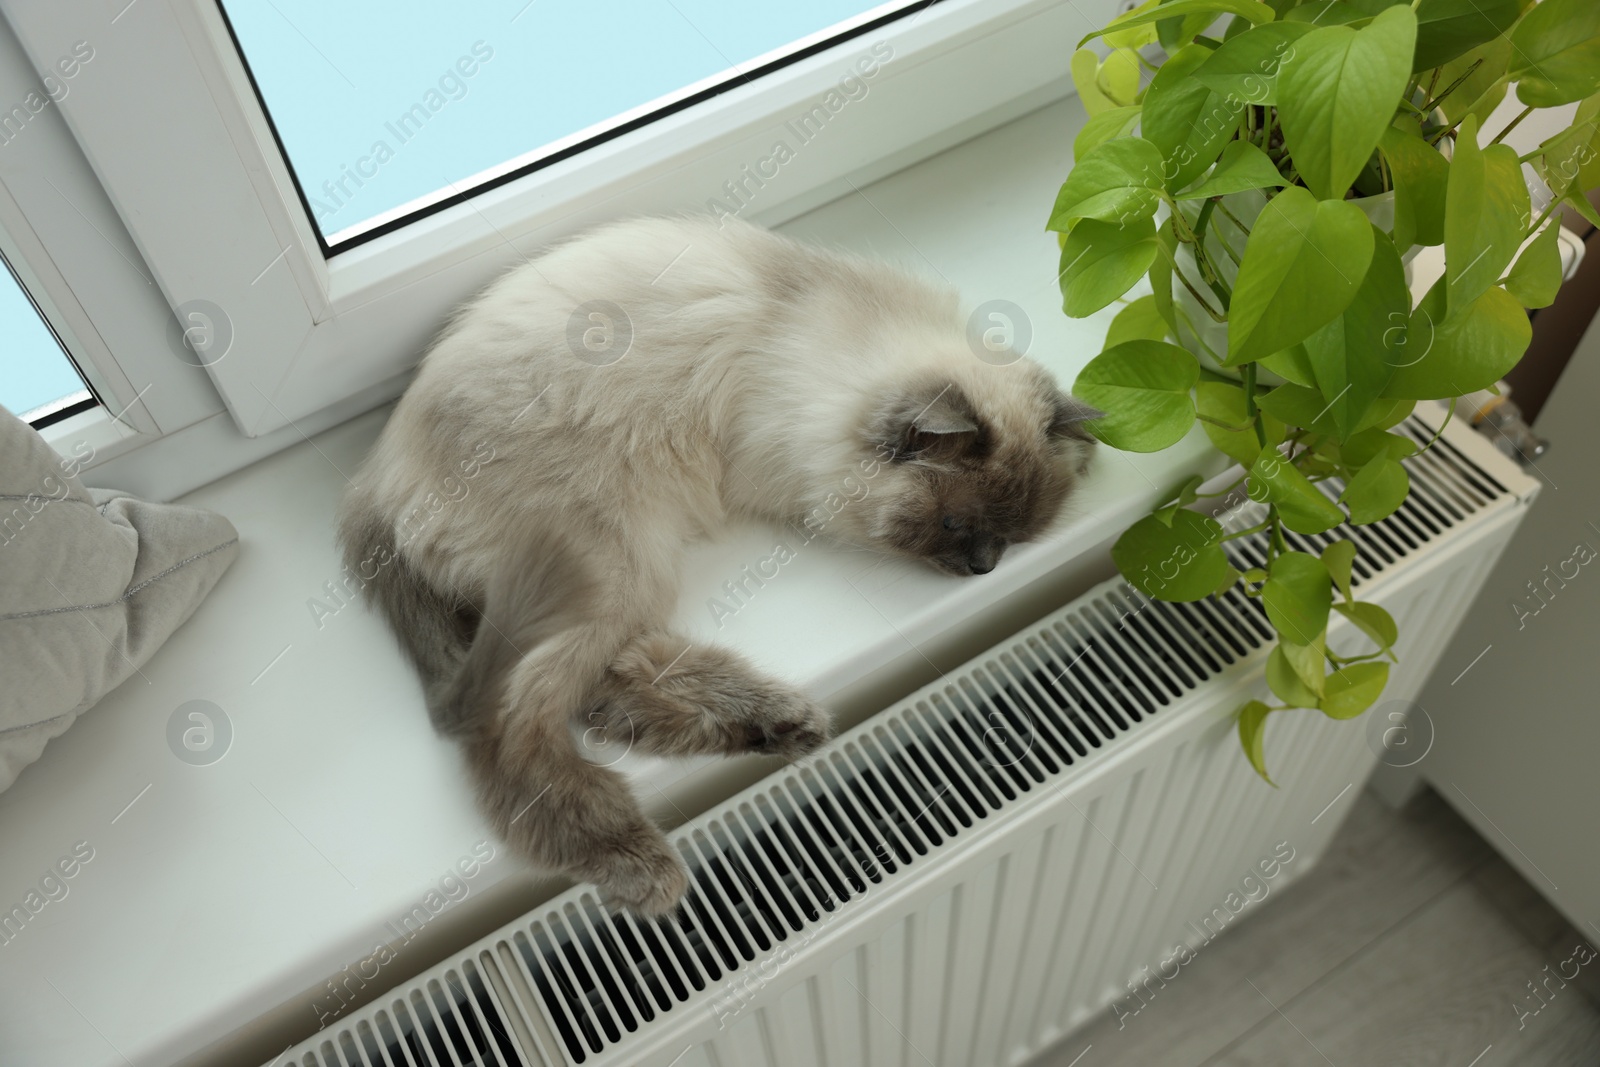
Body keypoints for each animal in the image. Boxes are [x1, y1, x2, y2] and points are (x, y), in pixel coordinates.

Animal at [337, 217, 1100, 921]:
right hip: (616, 560)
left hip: (614, 578)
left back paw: (778, 724)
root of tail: (371, 486)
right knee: (512, 726)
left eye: (1012, 536)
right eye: (955, 527)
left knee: (608, 683)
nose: (982, 568)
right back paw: (642, 860)